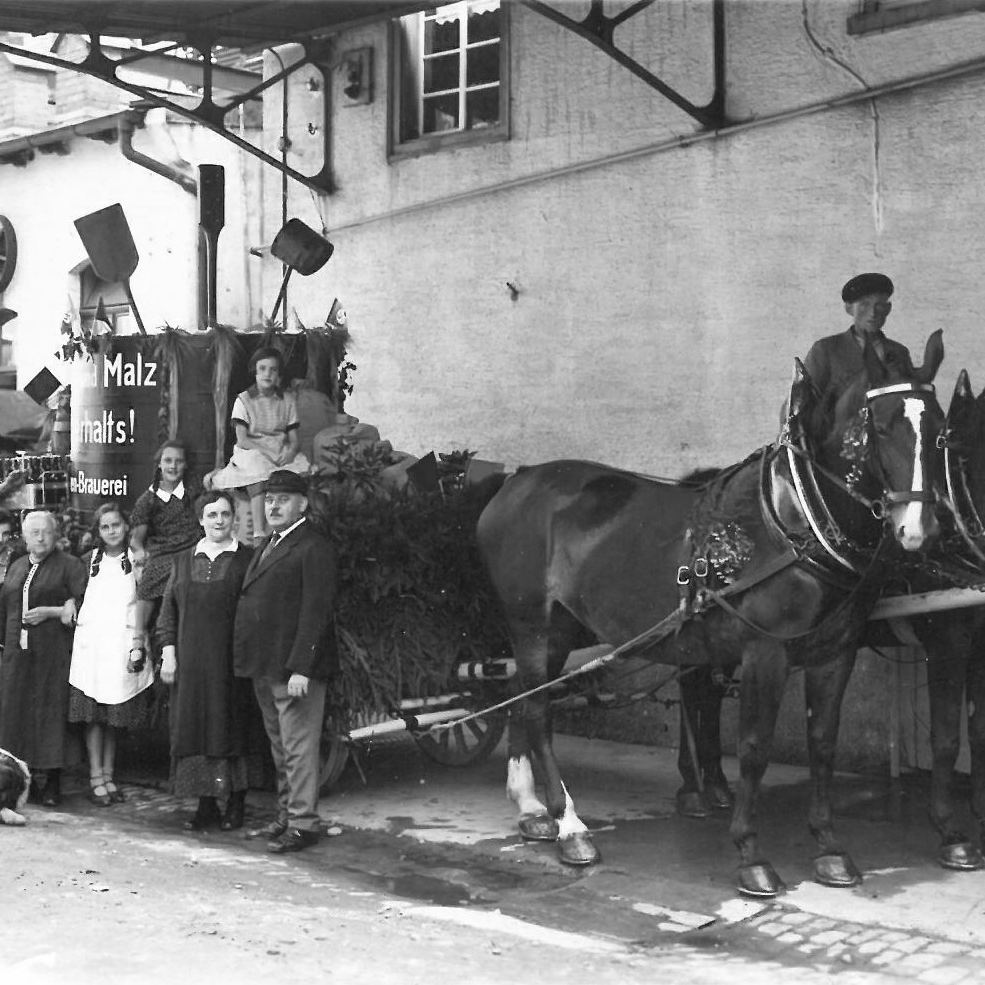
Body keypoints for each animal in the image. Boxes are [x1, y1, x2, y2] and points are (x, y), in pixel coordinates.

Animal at [476, 332, 944, 900]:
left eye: (940, 431)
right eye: (882, 425)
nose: (918, 529)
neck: (796, 517)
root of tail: (516, 481)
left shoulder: (836, 653)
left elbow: (823, 746)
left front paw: (830, 849)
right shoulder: (765, 653)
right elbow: (754, 749)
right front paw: (750, 855)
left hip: (560, 628)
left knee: (522, 697)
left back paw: (532, 810)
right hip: (532, 624)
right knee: (539, 710)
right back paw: (570, 826)